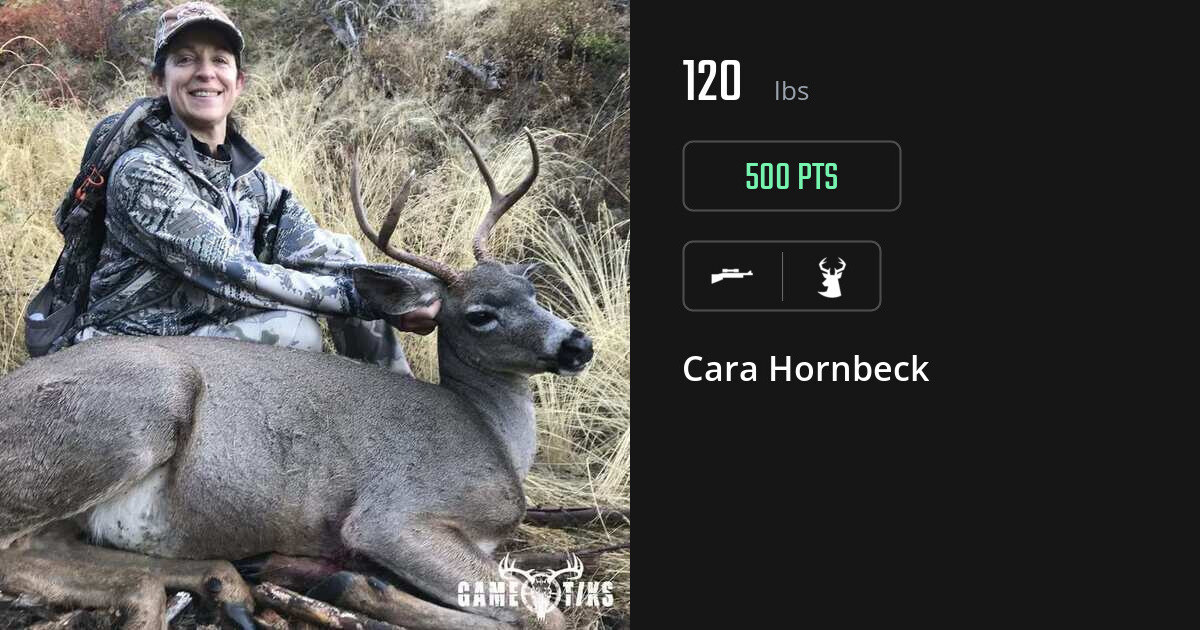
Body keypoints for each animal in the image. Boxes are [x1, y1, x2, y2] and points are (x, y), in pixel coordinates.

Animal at [0, 127, 592, 630]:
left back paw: (226, 584)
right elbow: (545, 614)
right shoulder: (395, 515)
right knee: (16, 551)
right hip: (135, 414)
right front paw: (357, 586)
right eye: (480, 315)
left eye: (529, 288)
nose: (577, 344)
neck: (493, 436)